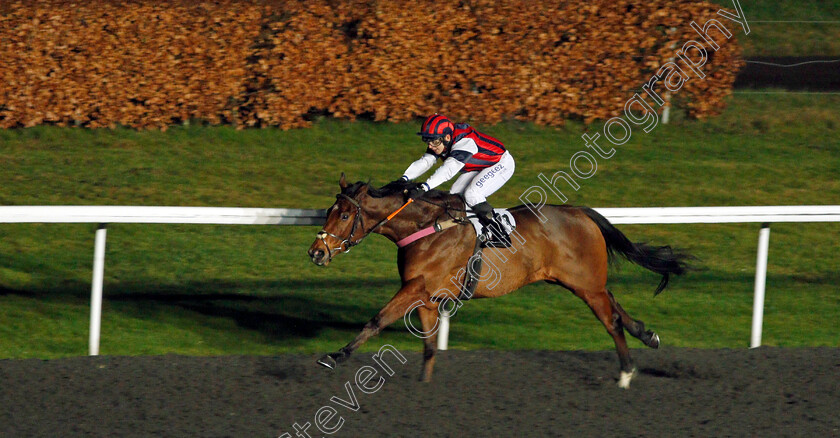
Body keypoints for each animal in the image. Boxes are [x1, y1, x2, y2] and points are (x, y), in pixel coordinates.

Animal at [308, 174, 688, 386]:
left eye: (345, 214)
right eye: (328, 211)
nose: (316, 252)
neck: (425, 227)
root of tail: (580, 212)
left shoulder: (416, 287)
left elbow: (376, 320)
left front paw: (335, 356)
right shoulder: (428, 296)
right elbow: (429, 348)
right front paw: (424, 387)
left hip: (585, 284)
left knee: (610, 321)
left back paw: (625, 373)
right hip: (582, 280)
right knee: (615, 302)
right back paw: (647, 335)